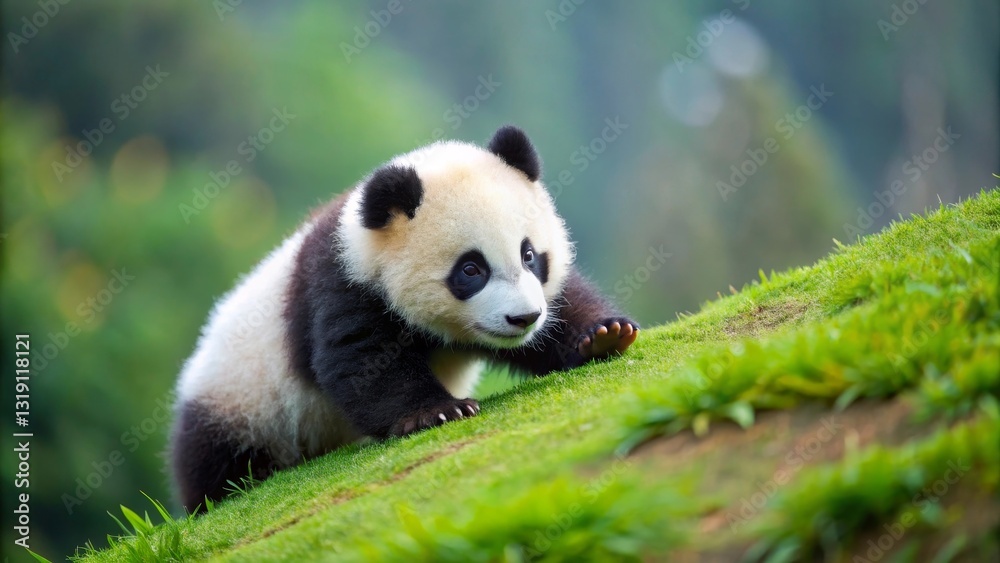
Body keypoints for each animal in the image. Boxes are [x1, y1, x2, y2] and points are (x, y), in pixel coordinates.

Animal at [169, 126, 639, 512]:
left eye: (530, 255)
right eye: (471, 270)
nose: (523, 317)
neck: (366, 239)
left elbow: (562, 303)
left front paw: (602, 335)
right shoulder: (342, 282)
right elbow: (360, 359)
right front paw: (438, 412)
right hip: (241, 403)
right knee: (219, 460)